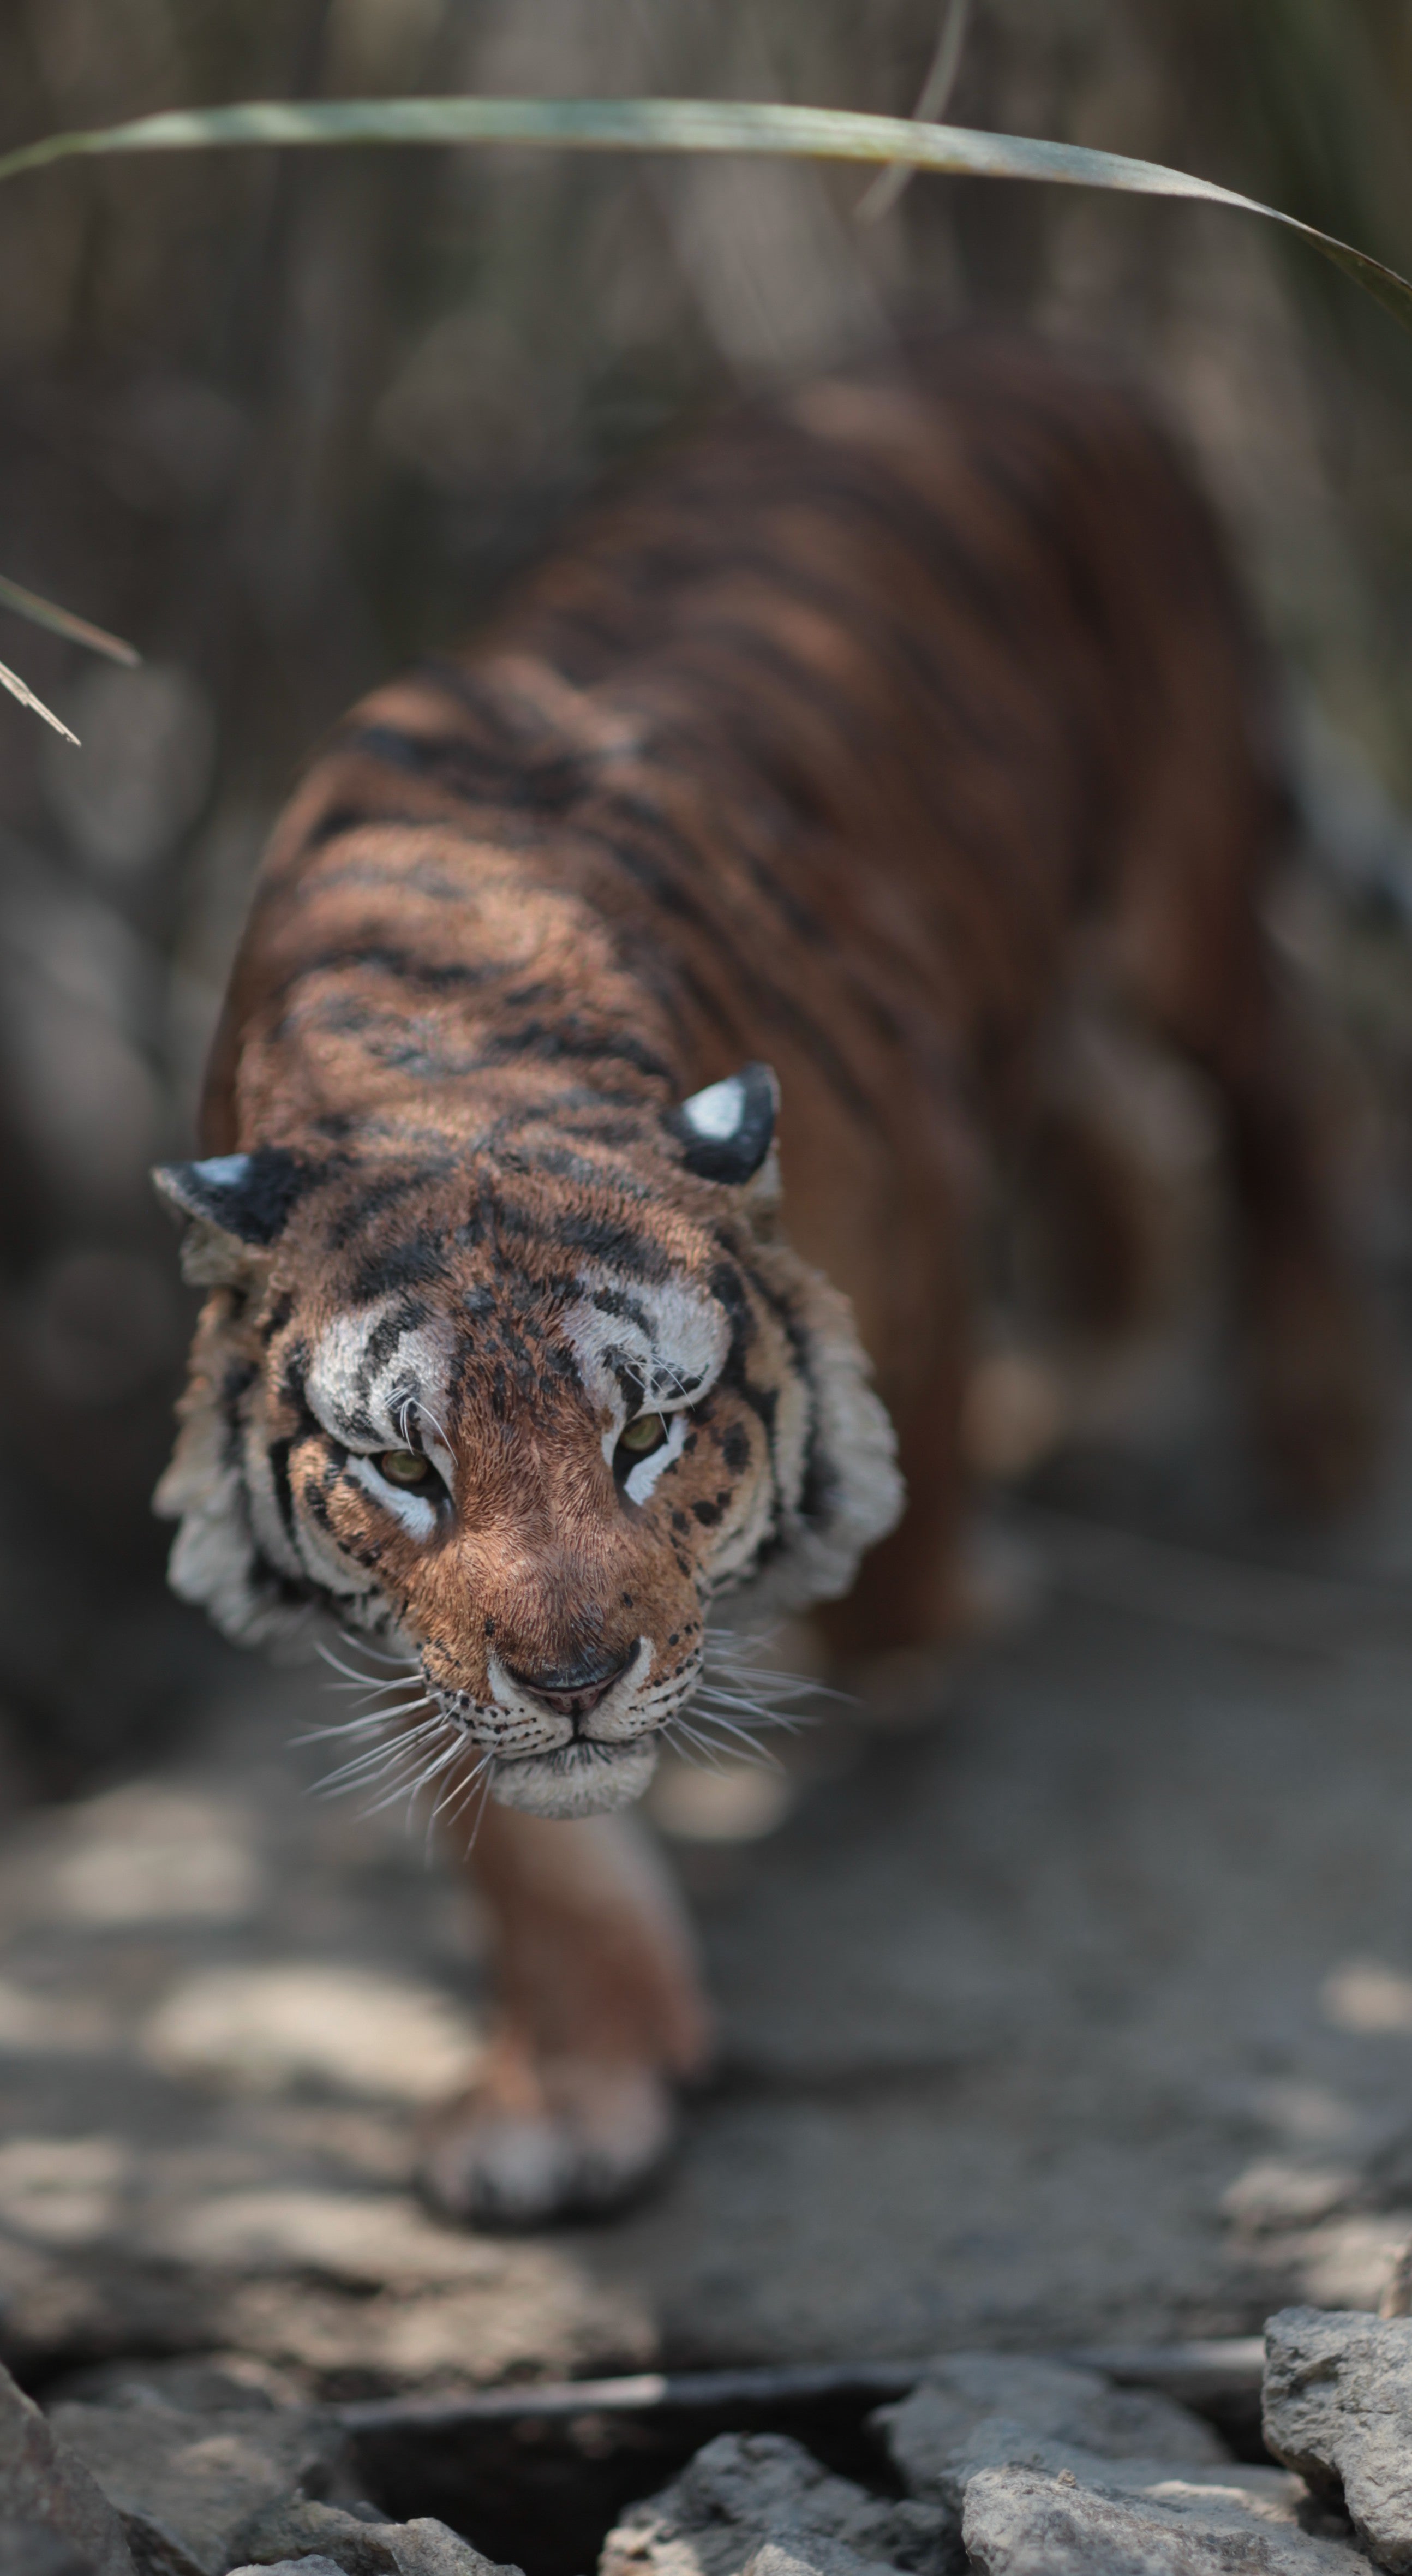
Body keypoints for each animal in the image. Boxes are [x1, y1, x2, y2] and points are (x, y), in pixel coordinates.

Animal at [154, 330, 1376, 2226]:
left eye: (648, 1432)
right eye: (405, 1468)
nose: (573, 1680)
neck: (447, 1062)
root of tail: (1024, 352)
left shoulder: (914, 1233)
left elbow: (902, 1529)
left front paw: (929, 1603)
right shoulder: (430, 1636)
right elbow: (517, 1828)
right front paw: (569, 2089)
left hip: (1181, 874)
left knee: (1280, 1080)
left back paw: (1313, 1438)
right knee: (1109, 1105)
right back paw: (1090, 1389)